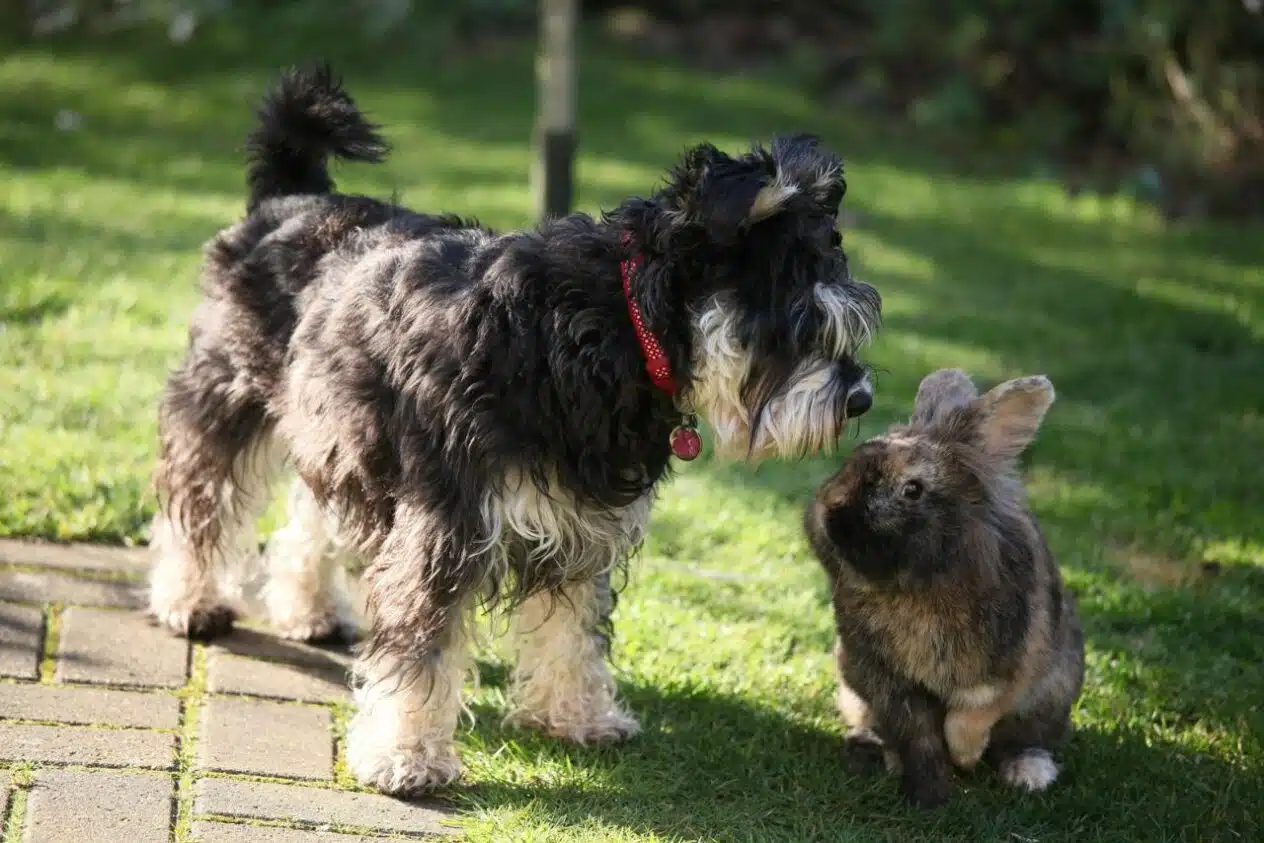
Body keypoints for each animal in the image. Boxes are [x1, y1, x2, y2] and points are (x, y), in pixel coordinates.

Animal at [145, 62, 879, 793]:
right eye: (802, 321)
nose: (862, 398)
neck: (611, 327)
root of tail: (290, 197)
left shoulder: (581, 524)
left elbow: (574, 633)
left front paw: (576, 716)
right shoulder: (444, 524)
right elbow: (423, 645)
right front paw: (407, 756)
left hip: (337, 435)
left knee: (310, 516)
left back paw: (309, 610)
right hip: (226, 396)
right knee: (199, 501)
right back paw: (190, 600)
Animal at [798, 371, 1087, 808]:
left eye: (912, 489)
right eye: (850, 462)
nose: (831, 513)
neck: (915, 586)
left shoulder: (1009, 670)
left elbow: (968, 718)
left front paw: (965, 758)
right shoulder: (888, 683)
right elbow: (919, 736)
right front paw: (929, 796)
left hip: (1053, 694)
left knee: (1029, 740)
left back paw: (1029, 774)